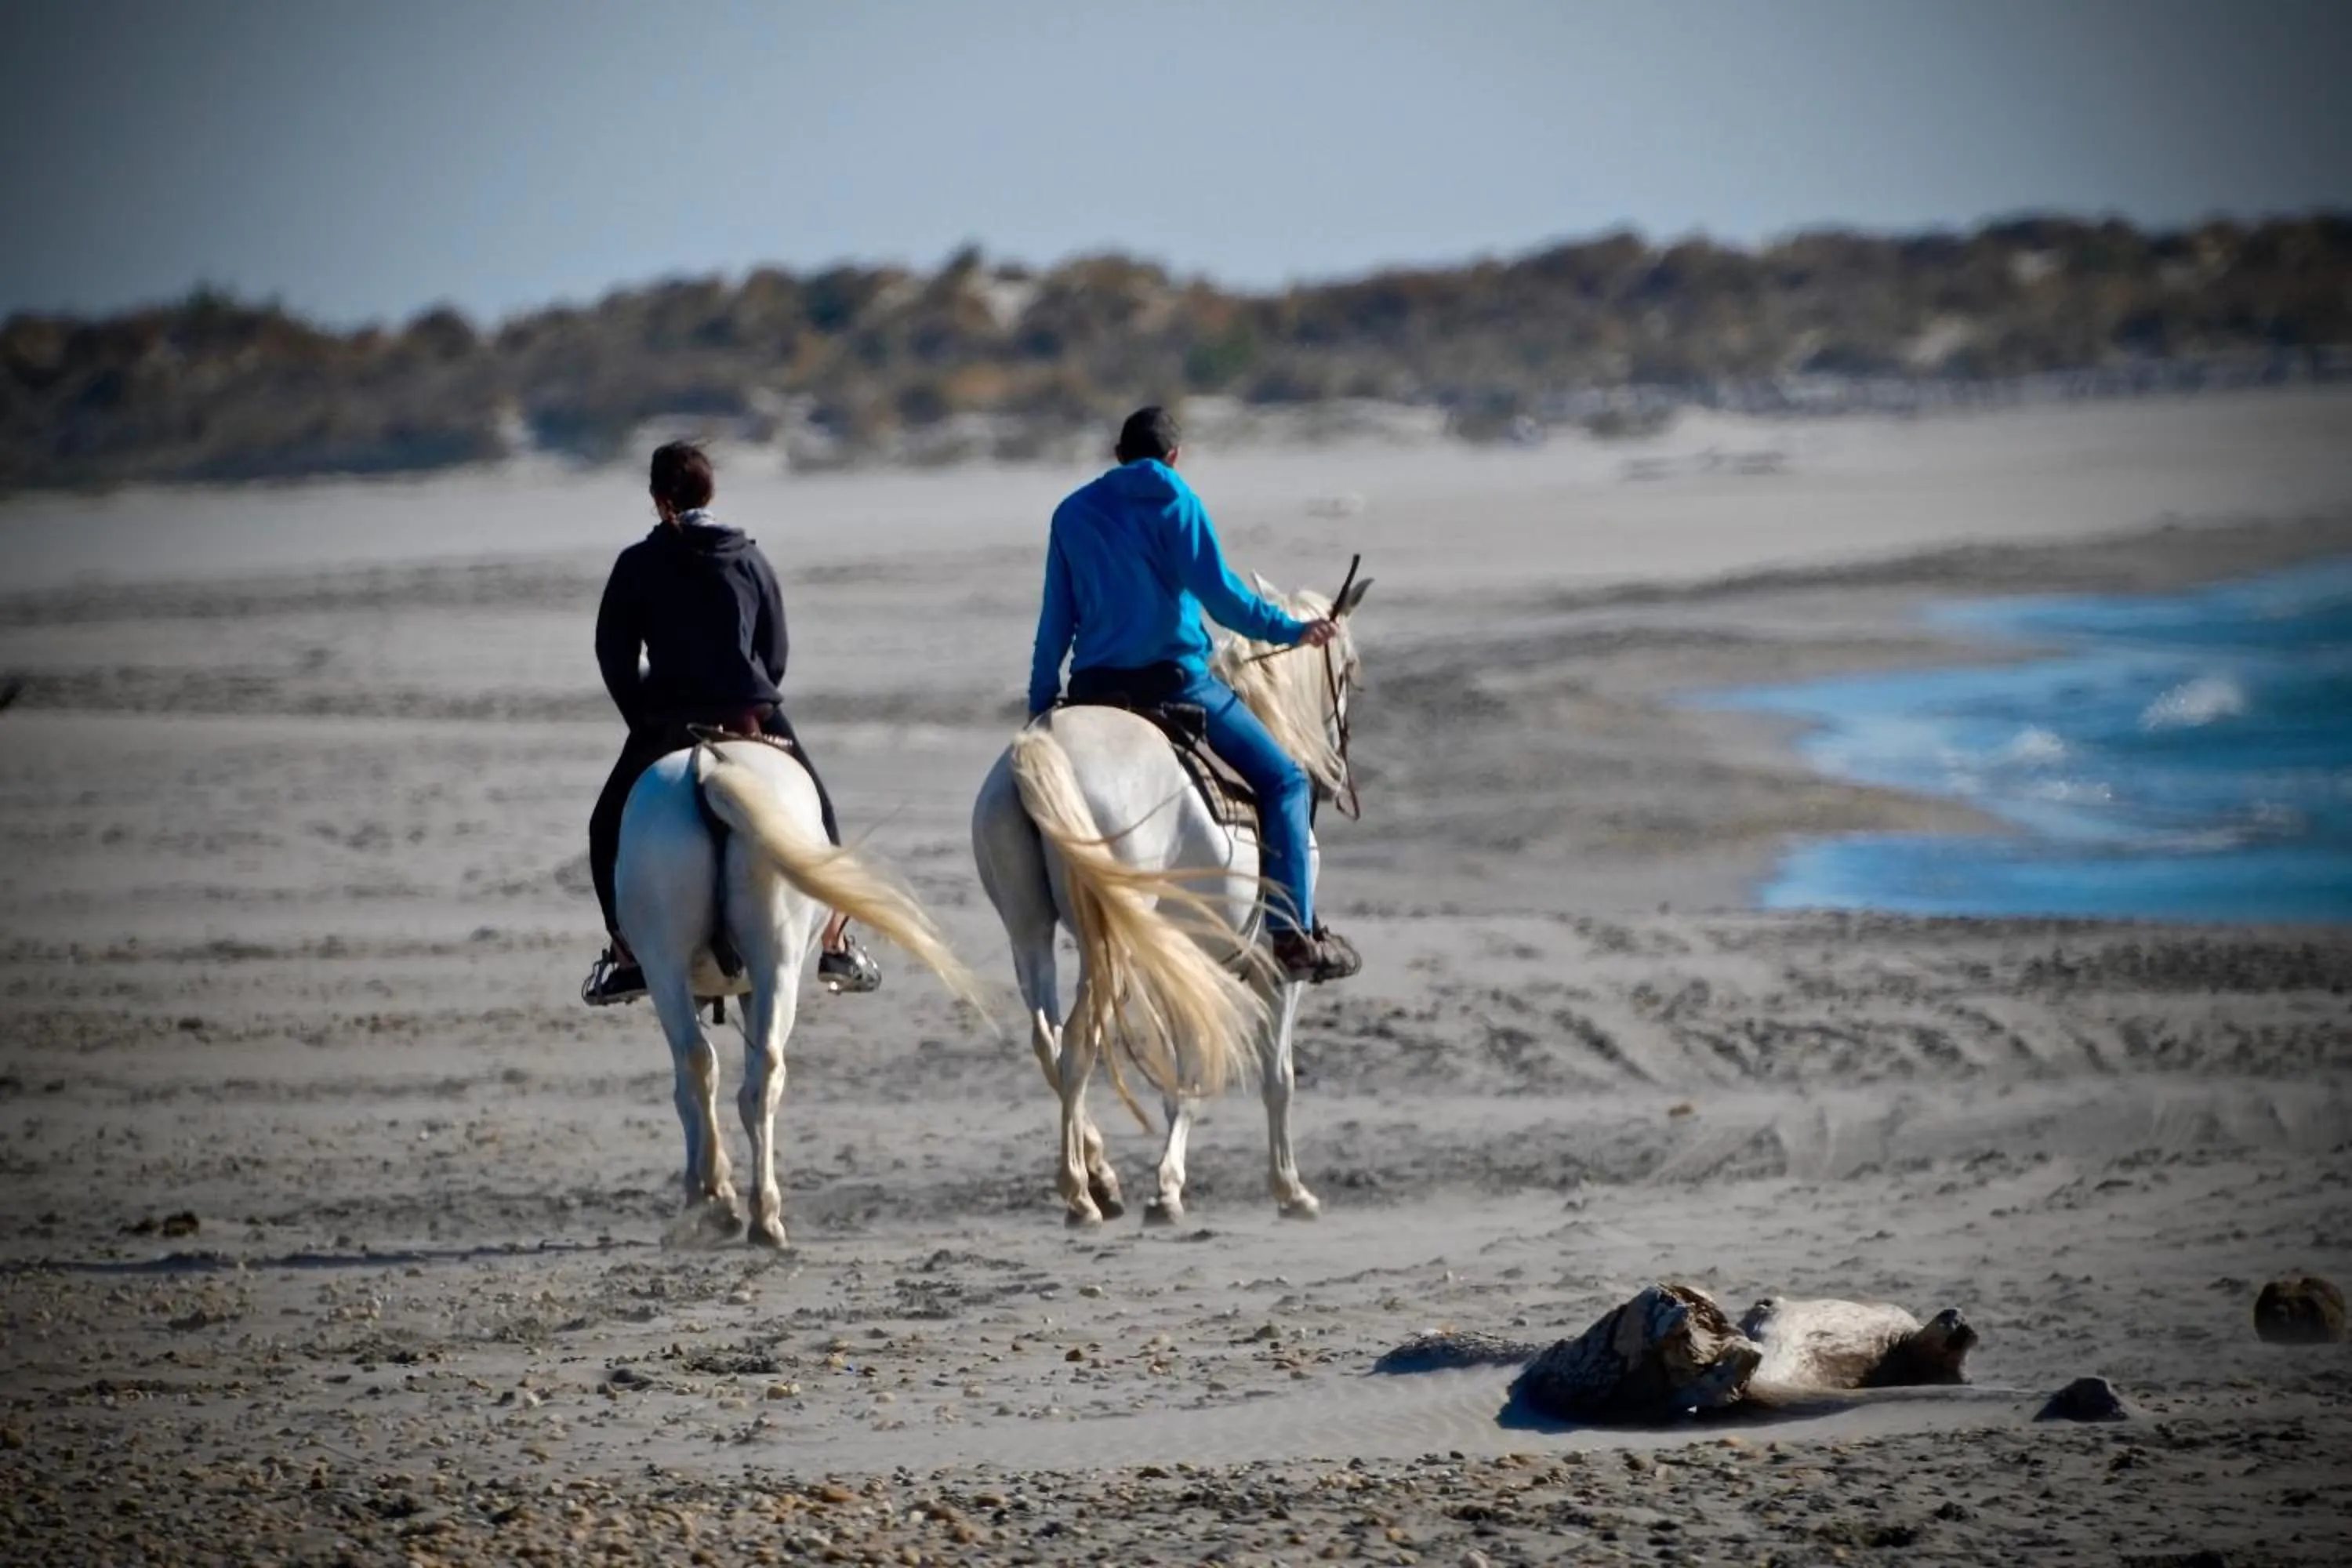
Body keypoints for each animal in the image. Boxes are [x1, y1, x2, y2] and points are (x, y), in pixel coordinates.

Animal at [615, 735, 987, 1248]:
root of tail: (705, 769)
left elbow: (687, 1091)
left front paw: (704, 1188)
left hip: (692, 965)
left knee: (708, 1065)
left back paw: (729, 1203)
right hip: (751, 965)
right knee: (750, 1072)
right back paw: (758, 1213)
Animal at [970, 576, 1370, 1227]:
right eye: (1351, 671)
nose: (1336, 772)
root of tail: (1043, 748)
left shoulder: (1184, 958)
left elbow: (1183, 1074)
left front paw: (1166, 1187)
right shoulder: (1275, 968)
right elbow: (1274, 1075)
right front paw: (1289, 1189)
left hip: (1028, 932)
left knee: (1048, 1042)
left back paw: (1101, 1177)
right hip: (1107, 945)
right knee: (1079, 1042)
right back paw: (1079, 1193)